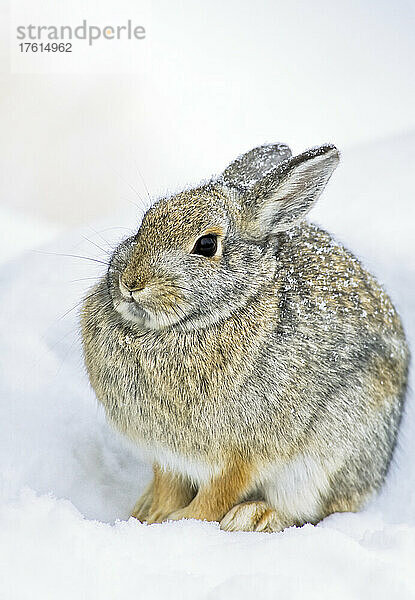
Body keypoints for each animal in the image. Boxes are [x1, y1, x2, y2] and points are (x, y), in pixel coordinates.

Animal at [81, 143, 410, 532]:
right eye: (144, 222)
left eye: (207, 244)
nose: (131, 282)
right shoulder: (168, 456)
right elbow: (168, 485)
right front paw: (153, 518)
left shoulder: (244, 451)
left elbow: (217, 495)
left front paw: (184, 523)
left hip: (331, 456)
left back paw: (255, 516)